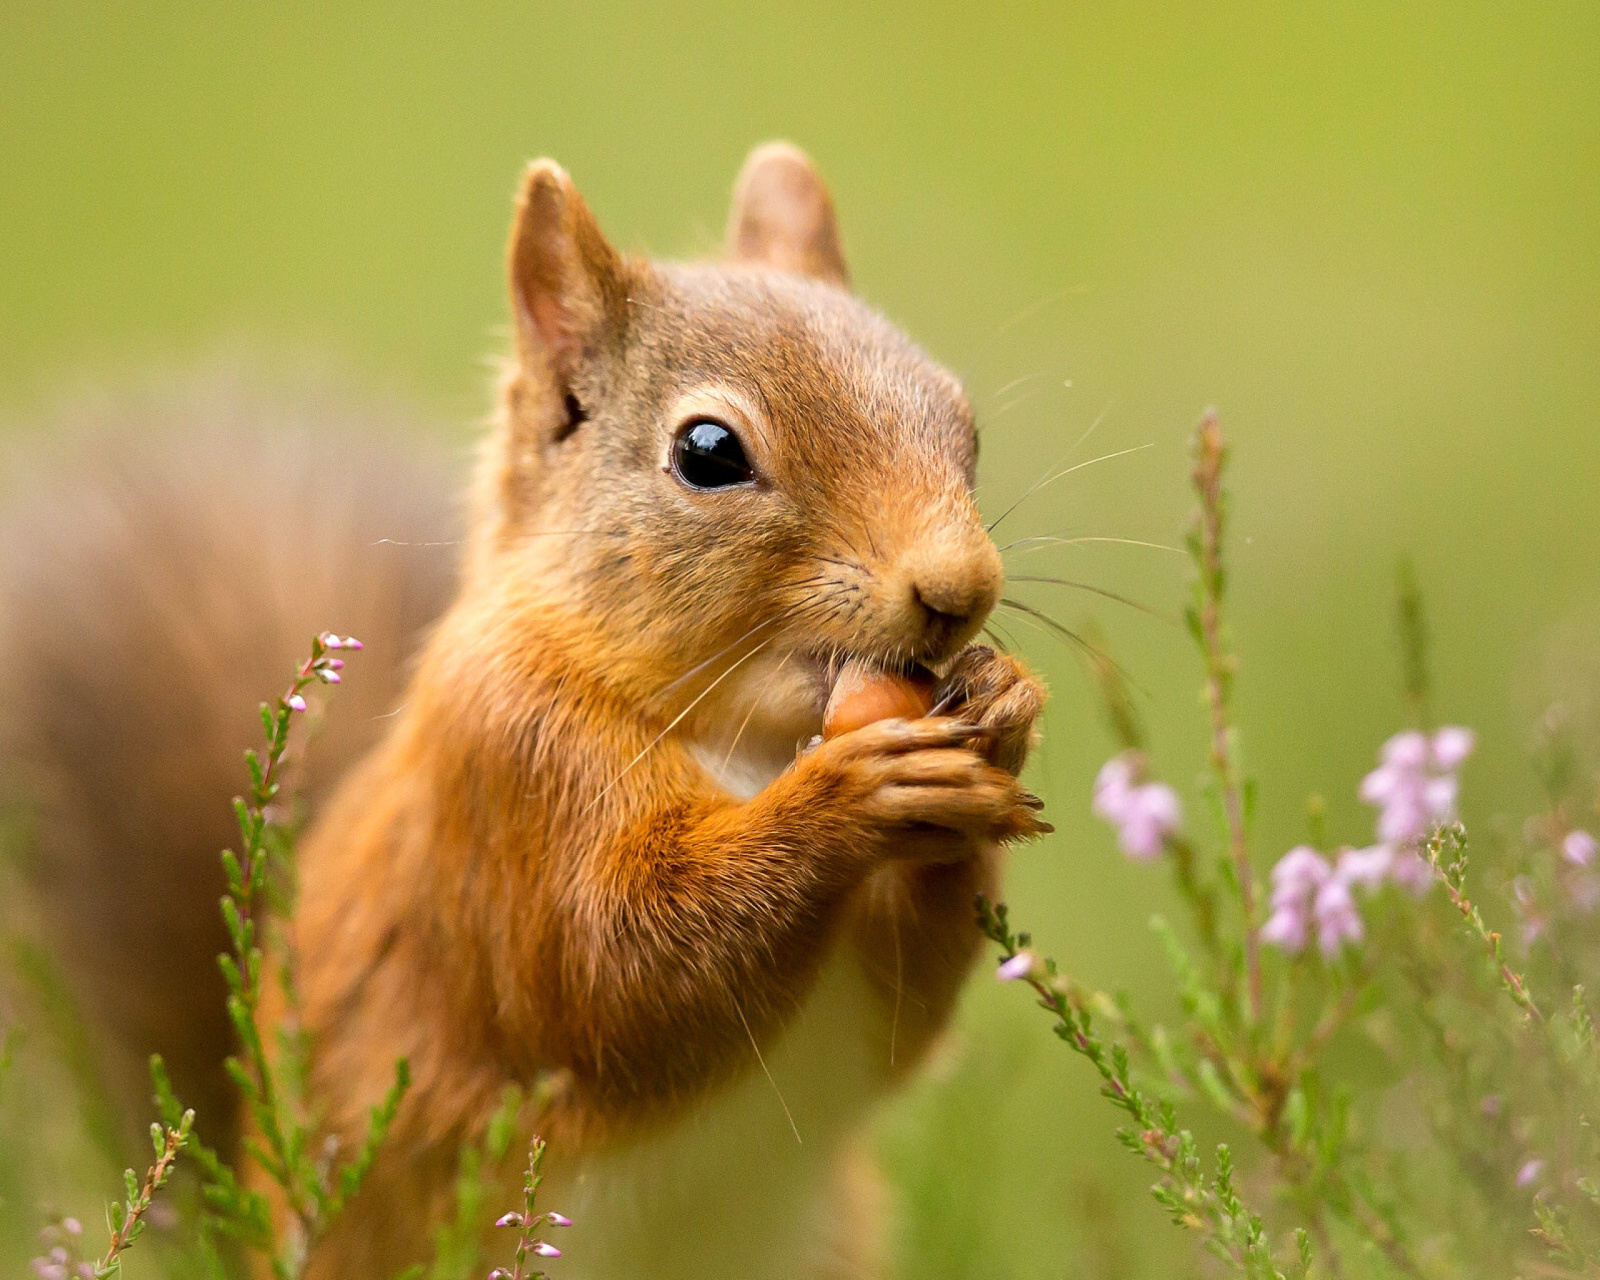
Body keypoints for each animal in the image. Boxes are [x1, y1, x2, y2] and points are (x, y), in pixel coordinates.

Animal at [3, 142, 1049, 1280]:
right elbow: (620, 969)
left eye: (964, 421)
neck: (747, 738)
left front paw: (1002, 708)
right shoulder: (510, 769)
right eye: (709, 452)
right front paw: (854, 793)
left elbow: (905, 1006)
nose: (960, 589)